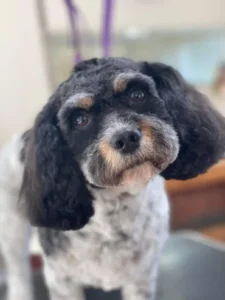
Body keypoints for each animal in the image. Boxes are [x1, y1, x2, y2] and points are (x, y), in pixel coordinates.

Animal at [0, 56, 225, 300]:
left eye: (138, 95)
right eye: (80, 119)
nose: (126, 138)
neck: (117, 210)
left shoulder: (141, 278)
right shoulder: (61, 280)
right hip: (12, 231)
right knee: (18, 271)